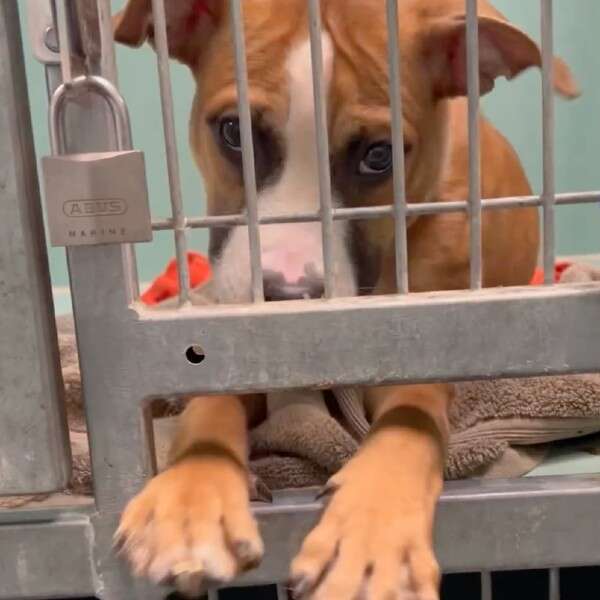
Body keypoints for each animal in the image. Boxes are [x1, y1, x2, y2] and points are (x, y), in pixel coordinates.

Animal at [115, 2, 580, 596]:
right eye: (234, 132)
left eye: (379, 156)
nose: (288, 294)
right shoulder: (239, 340)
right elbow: (211, 398)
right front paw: (191, 497)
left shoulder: (429, 344)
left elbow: (410, 420)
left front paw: (372, 536)